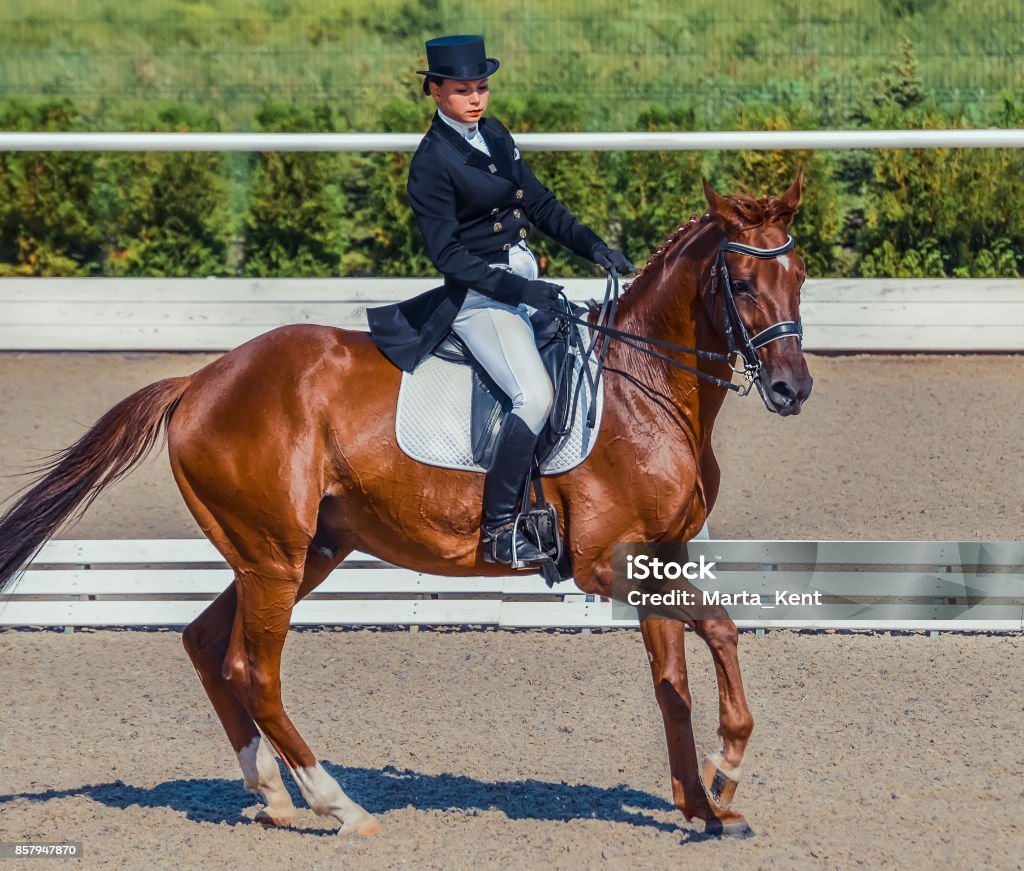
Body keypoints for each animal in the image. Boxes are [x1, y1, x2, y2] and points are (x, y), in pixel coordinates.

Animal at [0, 171, 815, 839]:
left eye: (800, 275)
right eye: (742, 283)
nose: (792, 388)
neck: (644, 386)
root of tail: (200, 380)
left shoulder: (660, 554)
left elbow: (676, 679)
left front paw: (706, 801)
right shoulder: (605, 563)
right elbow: (715, 635)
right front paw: (721, 776)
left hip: (302, 552)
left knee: (206, 644)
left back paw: (271, 794)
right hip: (274, 558)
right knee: (253, 670)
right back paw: (338, 806)